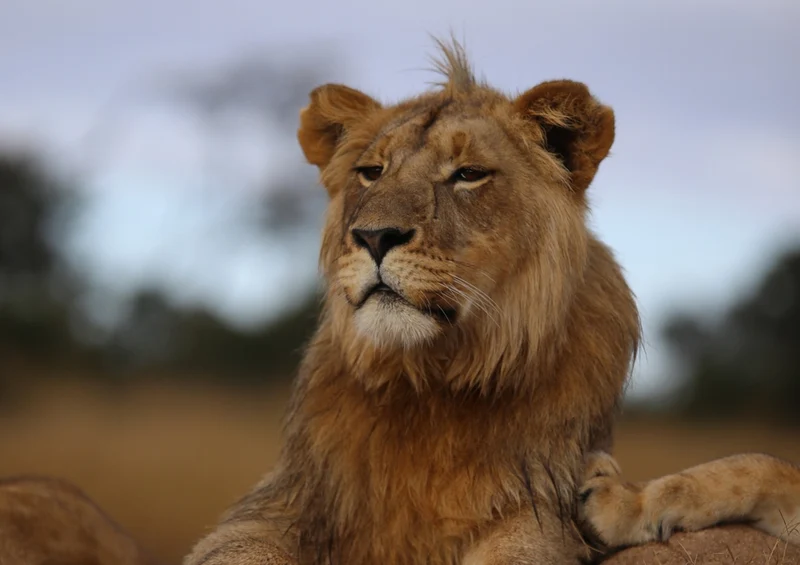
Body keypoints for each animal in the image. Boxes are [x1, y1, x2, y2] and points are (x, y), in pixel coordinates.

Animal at [180, 41, 800, 565]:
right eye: (371, 172)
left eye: (469, 174)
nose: (374, 237)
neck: (430, 383)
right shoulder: (278, 509)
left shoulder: (535, 510)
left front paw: (624, 502)